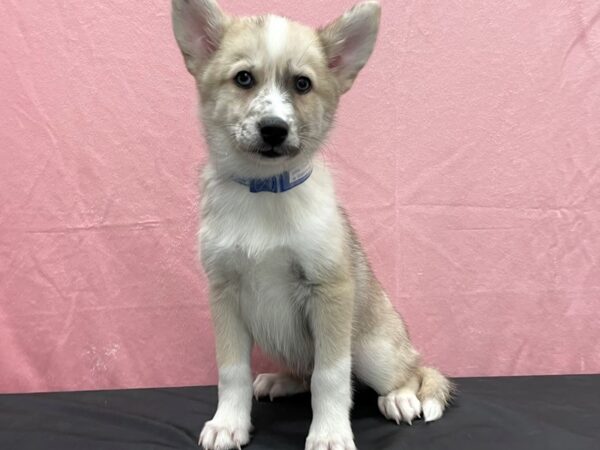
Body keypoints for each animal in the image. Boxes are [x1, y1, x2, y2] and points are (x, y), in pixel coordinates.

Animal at [171, 0, 452, 450]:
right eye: (243, 78)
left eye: (302, 84)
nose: (274, 129)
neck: (265, 192)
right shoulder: (224, 293)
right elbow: (232, 371)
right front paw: (228, 423)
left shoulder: (329, 291)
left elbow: (331, 376)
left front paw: (330, 433)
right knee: (304, 372)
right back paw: (278, 381)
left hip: (373, 349)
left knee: (414, 371)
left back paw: (400, 398)